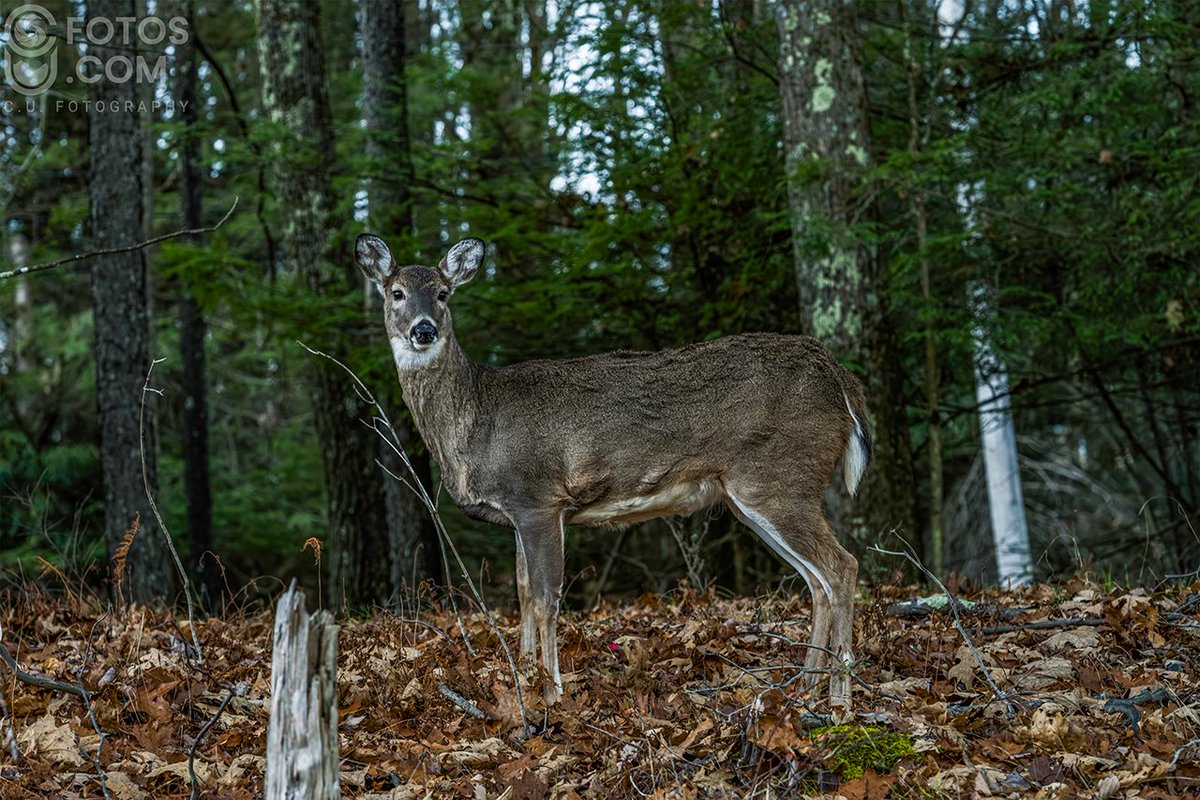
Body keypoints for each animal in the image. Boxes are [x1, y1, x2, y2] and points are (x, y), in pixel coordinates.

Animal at [356, 233, 872, 709]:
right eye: (396, 292)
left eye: (444, 293)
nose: (424, 329)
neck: (474, 422)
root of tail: (841, 378)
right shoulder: (517, 514)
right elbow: (522, 592)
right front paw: (523, 673)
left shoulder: (539, 498)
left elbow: (546, 598)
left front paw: (552, 691)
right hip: (756, 493)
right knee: (817, 581)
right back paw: (805, 687)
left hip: (777, 477)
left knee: (842, 566)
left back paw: (839, 698)